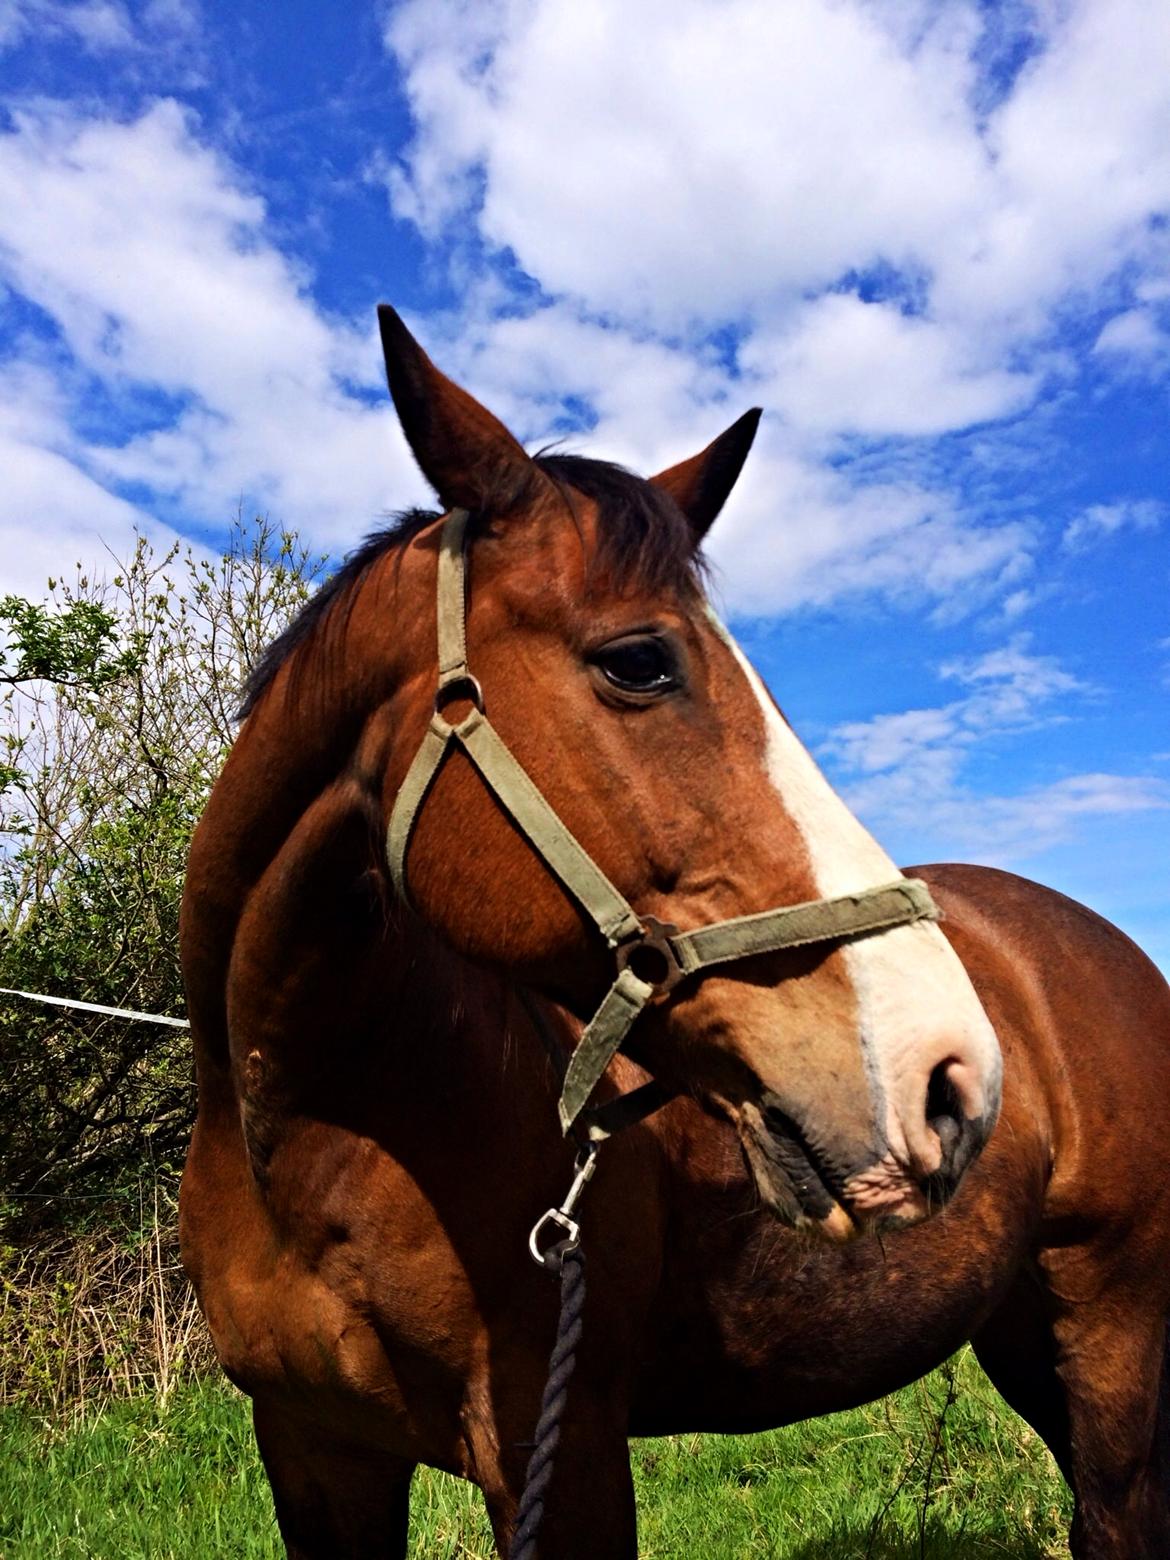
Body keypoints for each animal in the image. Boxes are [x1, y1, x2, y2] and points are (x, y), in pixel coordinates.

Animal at [180, 307, 1170, 1560]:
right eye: (640, 661)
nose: (950, 1077)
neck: (309, 1133)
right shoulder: (315, 1454)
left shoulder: (563, 1455)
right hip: (1023, 1331)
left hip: (1111, 1335)